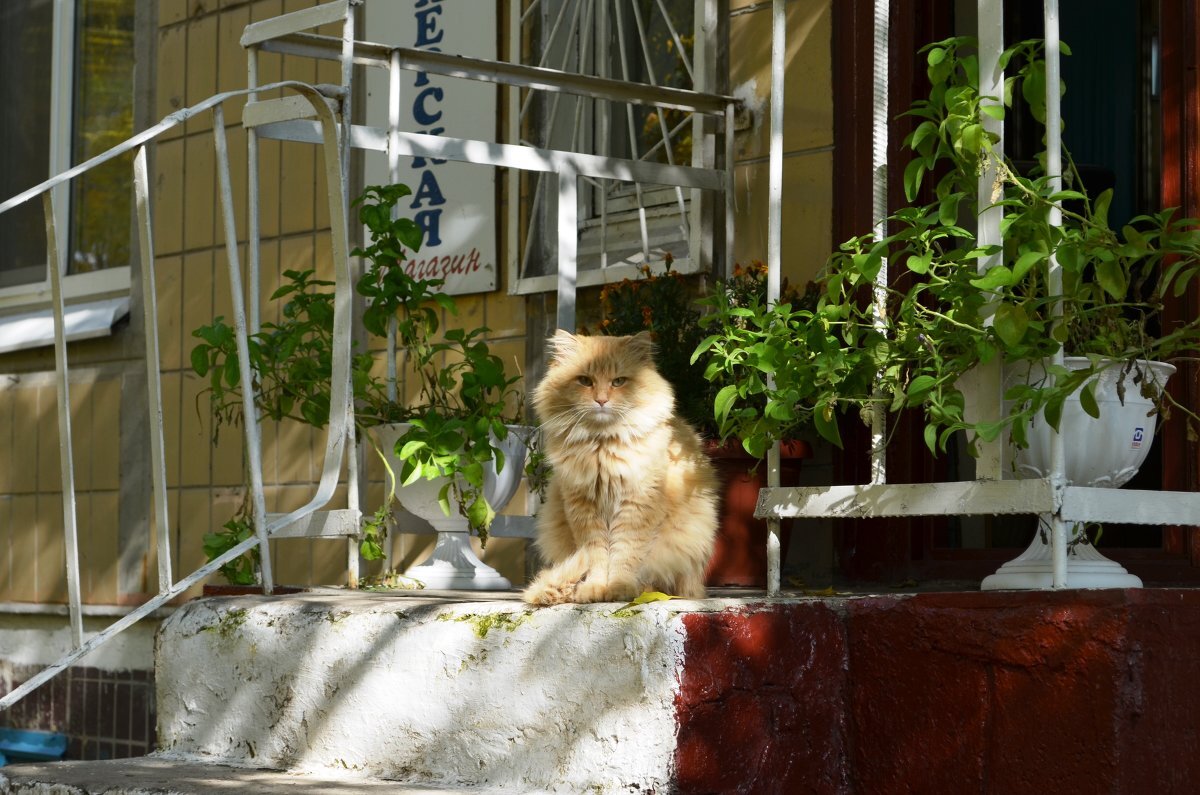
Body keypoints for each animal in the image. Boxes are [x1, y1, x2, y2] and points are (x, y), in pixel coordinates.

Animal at [523, 333, 710, 607]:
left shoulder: (637, 506)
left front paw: (619, 589)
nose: (601, 400)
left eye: (618, 381)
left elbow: (624, 554)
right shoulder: (584, 509)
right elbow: (597, 558)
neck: (602, 445)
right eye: (585, 381)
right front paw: (594, 590)